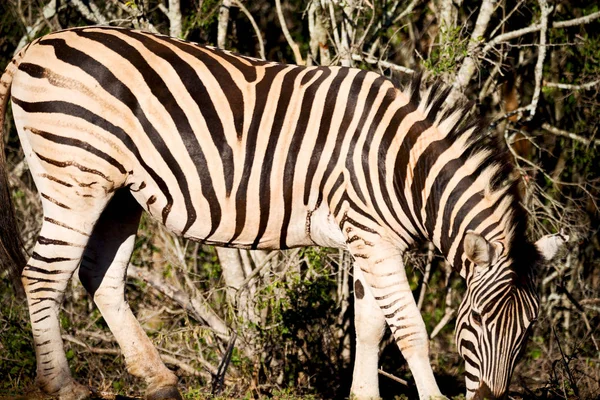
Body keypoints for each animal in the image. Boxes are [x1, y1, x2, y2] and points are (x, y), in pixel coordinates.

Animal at [0, 25, 564, 400]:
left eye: (529, 331)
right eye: (475, 320)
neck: (402, 165)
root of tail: (36, 45)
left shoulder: (366, 239)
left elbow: (370, 326)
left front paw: (363, 396)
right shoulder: (375, 239)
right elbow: (409, 329)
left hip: (118, 192)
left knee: (102, 277)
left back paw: (158, 379)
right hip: (75, 176)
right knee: (43, 275)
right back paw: (62, 385)